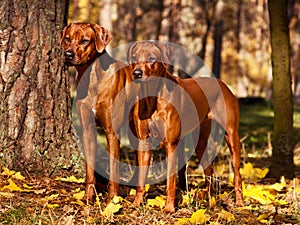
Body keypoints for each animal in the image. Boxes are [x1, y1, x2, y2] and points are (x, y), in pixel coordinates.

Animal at [59, 22, 133, 202]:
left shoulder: (112, 132)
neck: (92, 77)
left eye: (85, 41)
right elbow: (90, 170)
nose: (68, 54)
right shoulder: (88, 130)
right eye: (67, 39)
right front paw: (88, 197)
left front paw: (112, 201)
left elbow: (114, 170)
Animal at [127, 41, 244, 213]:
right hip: (200, 141)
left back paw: (240, 202)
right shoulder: (143, 142)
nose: (136, 73)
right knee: (208, 169)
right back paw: (206, 197)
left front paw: (169, 208)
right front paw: (136, 204)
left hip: (232, 136)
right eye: (134, 58)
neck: (153, 95)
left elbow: (171, 181)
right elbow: (141, 180)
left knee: (237, 173)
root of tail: (222, 83)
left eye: (152, 58)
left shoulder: (171, 144)